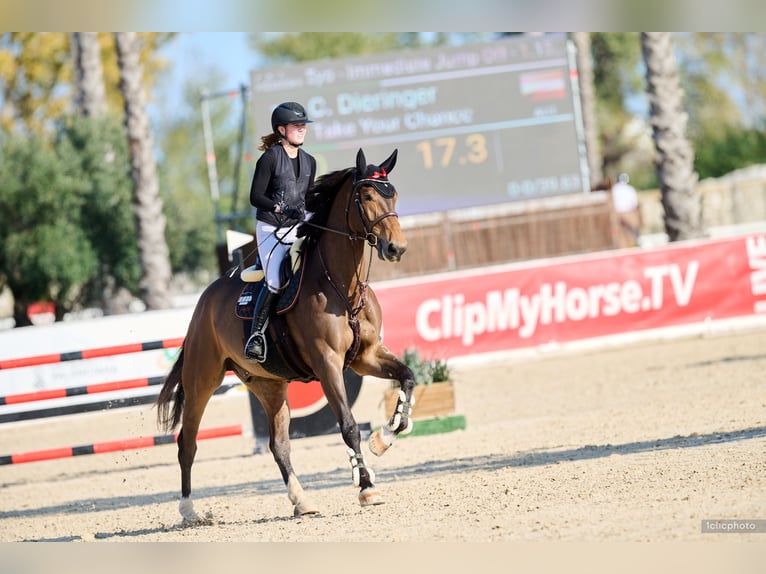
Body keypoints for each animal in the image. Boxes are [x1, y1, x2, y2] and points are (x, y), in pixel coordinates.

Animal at [156, 148, 417, 521]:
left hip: (269, 385)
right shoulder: (327, 363)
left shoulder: (366, 357)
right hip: (202, 379)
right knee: (187, 442)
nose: (397, 248)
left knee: (278, 444)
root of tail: (205, 299)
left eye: (392, 194)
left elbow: (407, 378)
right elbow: (348, 424)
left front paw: (384, 437)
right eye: (366, 196)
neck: (341, 285)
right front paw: (367, 487)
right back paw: (189, 510)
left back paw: (302, 501)